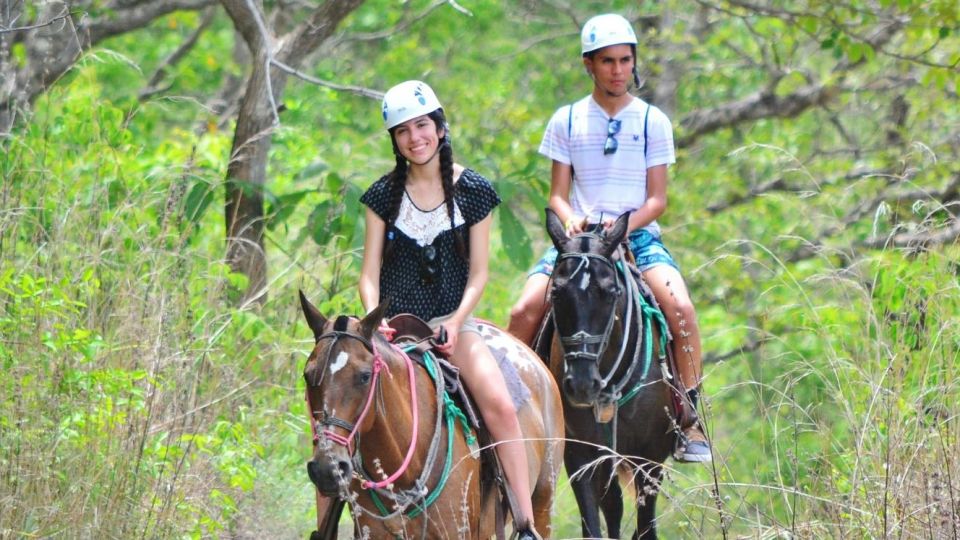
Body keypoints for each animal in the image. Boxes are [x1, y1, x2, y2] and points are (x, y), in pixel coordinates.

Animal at [544, 209, 680, 536]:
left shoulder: (650, 457)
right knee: (613, 506)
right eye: (556, 292)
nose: (582, 385)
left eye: (610, 292)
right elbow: (594, 526)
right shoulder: (580, 455)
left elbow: (645, 529)